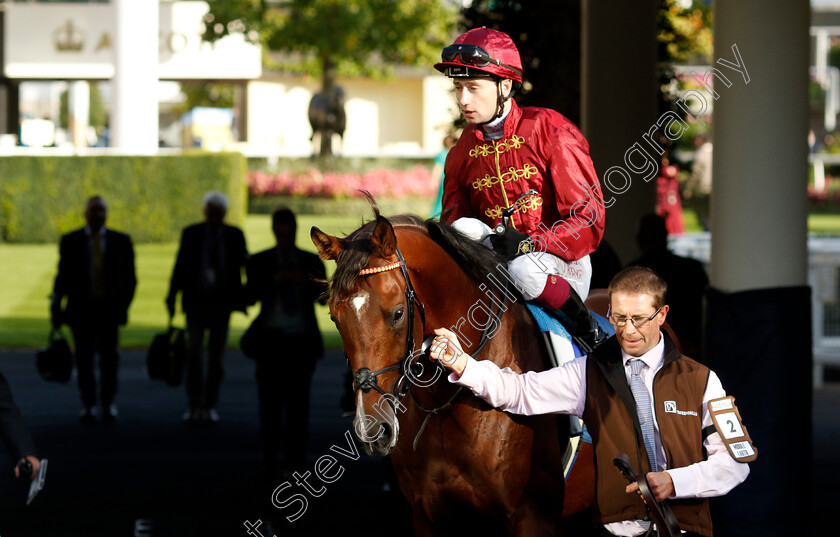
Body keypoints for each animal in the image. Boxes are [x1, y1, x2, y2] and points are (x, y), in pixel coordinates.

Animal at [312, 207, 592, 532]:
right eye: (334, 318)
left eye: (397, 313)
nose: (372, 430)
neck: (445, 407)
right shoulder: (426, 516)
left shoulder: (533, 516)